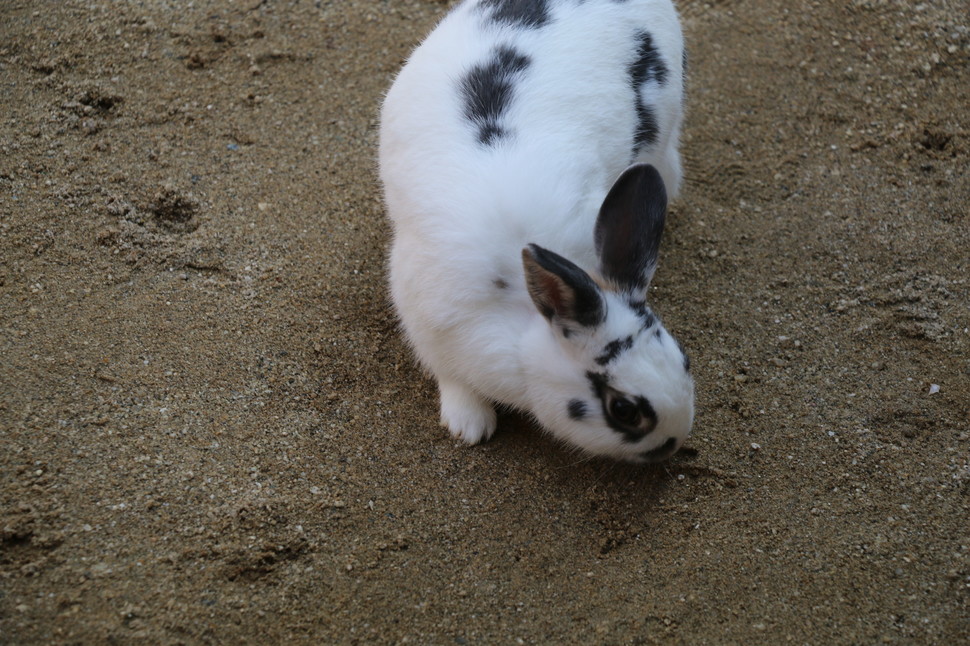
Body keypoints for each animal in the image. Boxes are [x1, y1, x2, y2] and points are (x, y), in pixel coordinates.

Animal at [376, 0, 688, 466]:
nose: (675, 443)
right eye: (623, 410)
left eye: (684, 359)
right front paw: (470, 425)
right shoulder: (424, 322)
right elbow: (452, 378)